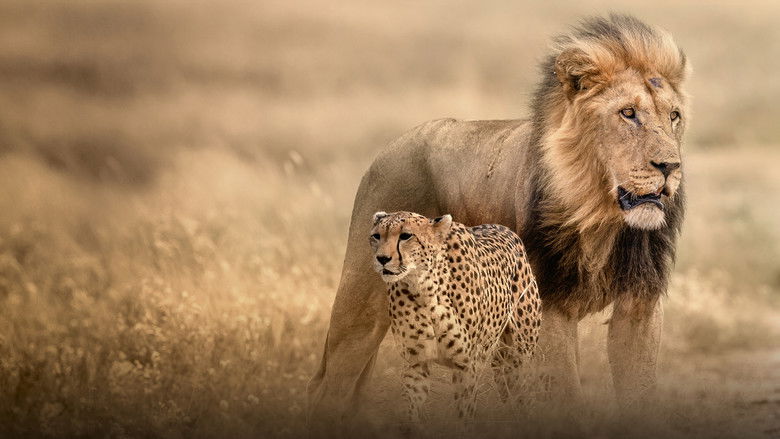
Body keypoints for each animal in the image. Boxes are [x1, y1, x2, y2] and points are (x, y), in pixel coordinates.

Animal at [308, 14, 689, 428]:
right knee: (328, 386)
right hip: (361, 303)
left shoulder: (640, 304)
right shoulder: (550, 305)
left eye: (674, 116)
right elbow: (565, 395)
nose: (670, 167)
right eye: (628, 113)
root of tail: (391, 148)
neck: (600, 218)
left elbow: (638, 390)